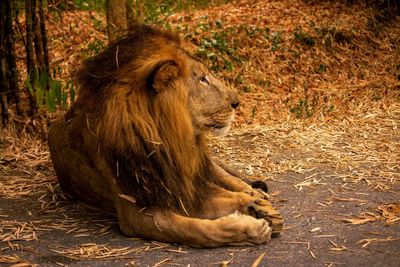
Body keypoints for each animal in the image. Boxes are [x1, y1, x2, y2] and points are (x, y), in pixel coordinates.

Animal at [48, 24, 282, 248]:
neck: (169, 142)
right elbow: (198, 230)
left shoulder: (188, 187)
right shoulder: (141, 214)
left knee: (228, 178)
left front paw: (256, 207)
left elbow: (226, 197)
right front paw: (251, 227)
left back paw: (257, 195)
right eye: (203, 79)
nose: (237, 102)